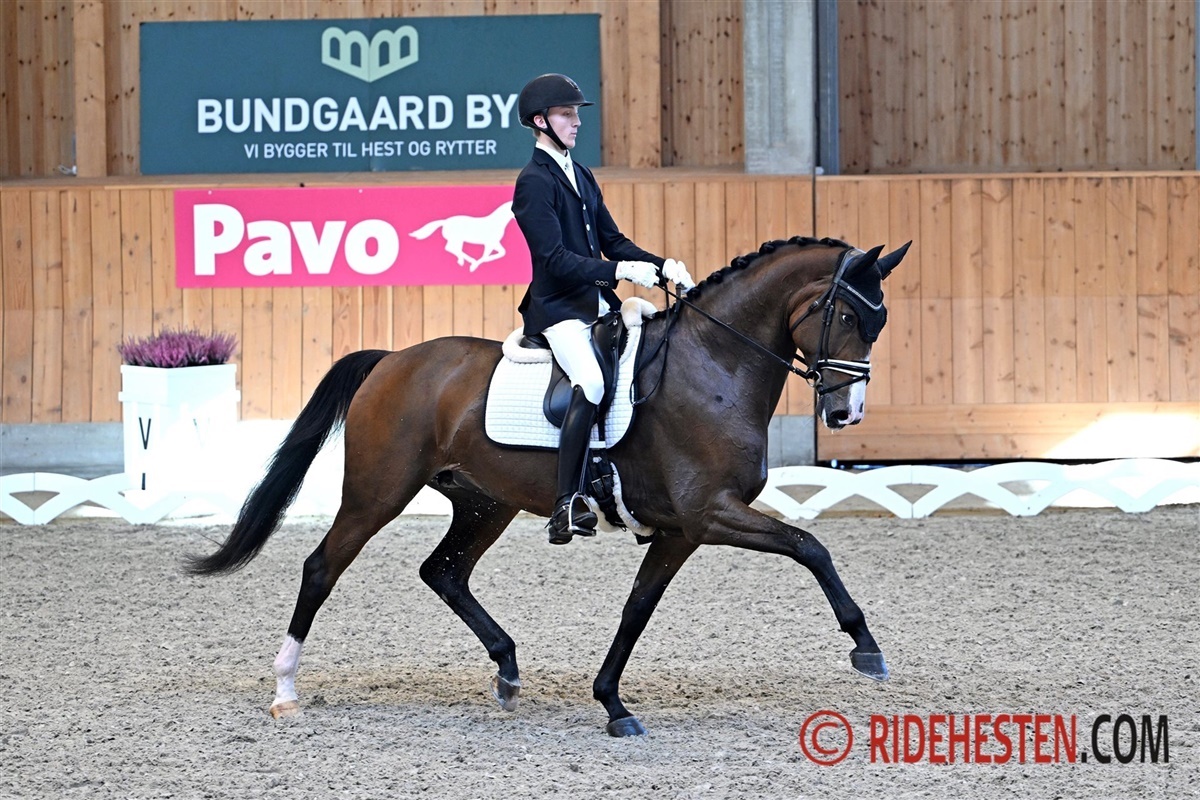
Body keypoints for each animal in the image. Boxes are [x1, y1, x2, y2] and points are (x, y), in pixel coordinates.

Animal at [187, 235, 911, 737]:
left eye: (878, 325)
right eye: (847, 317)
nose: (846, 416)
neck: (714, 365)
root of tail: (392, 359)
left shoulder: (682, 531)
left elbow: (637, 609)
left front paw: (612, 702)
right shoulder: (711, 514)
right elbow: (810, 547)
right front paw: (866, 647)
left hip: (484, 502)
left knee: (443, 572)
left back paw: (507, 670)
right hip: (377, 493)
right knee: (322, 567)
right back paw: (285, 690)